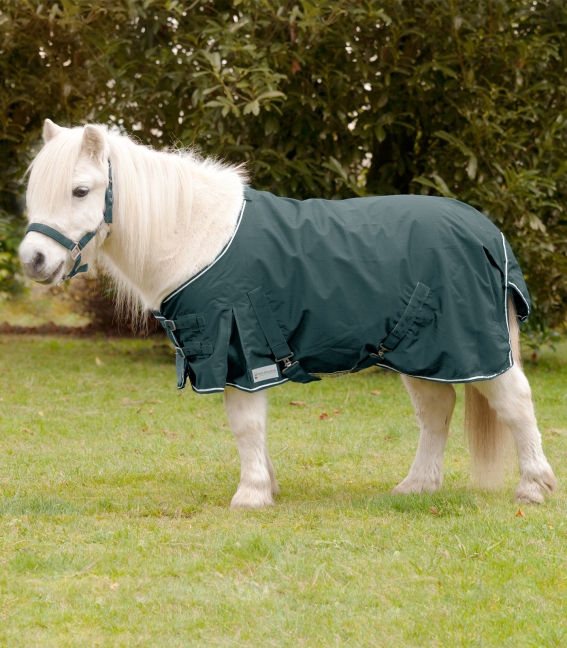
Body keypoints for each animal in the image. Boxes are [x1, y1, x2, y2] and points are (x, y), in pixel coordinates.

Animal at [18, 119, 557, 509]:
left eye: (81, 191)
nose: (32, 260)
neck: (197, 237)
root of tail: (487, 232)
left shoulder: (240, 350)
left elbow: (245, 425)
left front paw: (251, 495)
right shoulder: (236, 356)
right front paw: (267, 485)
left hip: (475, 347)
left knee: (515, 403)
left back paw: (534, 487)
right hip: (419, 351)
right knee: (435, 411)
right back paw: (416, 487)